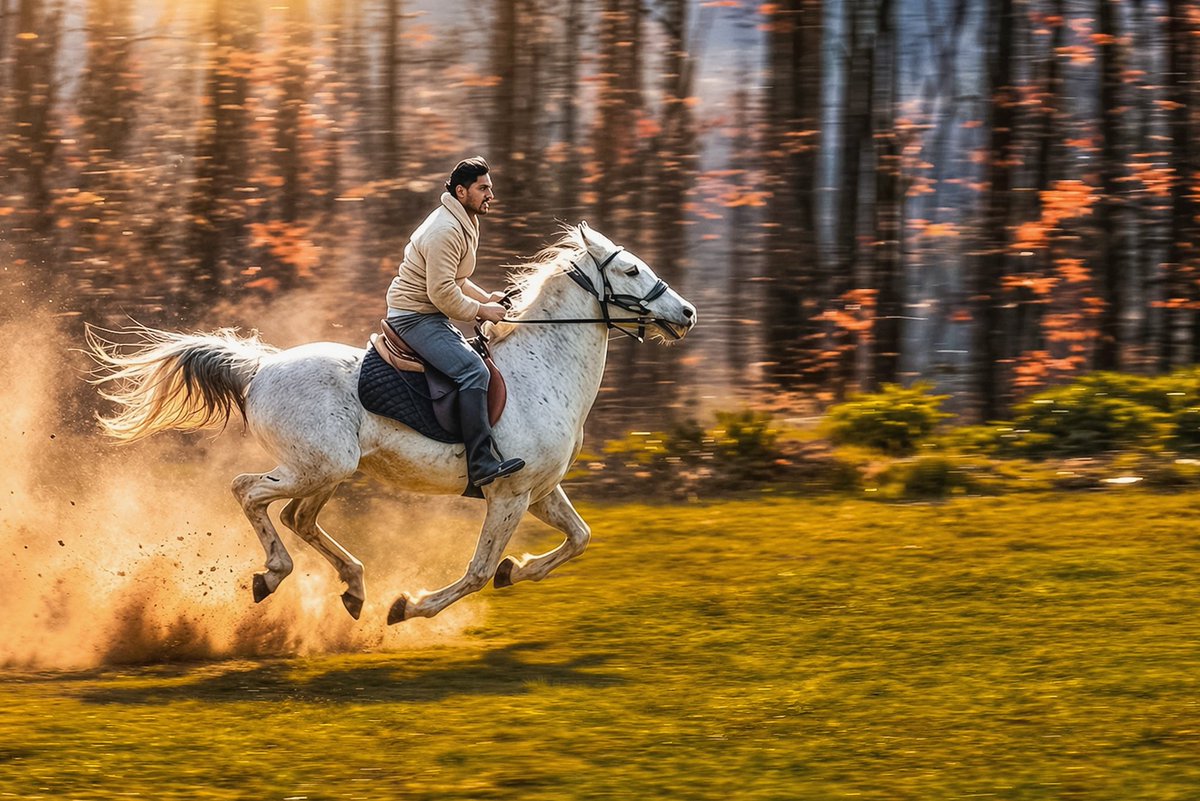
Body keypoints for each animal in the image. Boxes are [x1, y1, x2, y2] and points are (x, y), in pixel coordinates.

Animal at [87, 223, 697, 624]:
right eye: (630, 269)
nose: (687, 313)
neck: (542, 368)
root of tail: (259, 369)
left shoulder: (540, 491)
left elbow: (579, 539)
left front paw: (516, 571)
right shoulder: (509, 493)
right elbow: (478, 570)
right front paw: (411, 605)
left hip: (329, 472)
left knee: (298, 518)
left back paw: (353, 589)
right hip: (318, 467)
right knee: (249, 491)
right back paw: (274, 575)